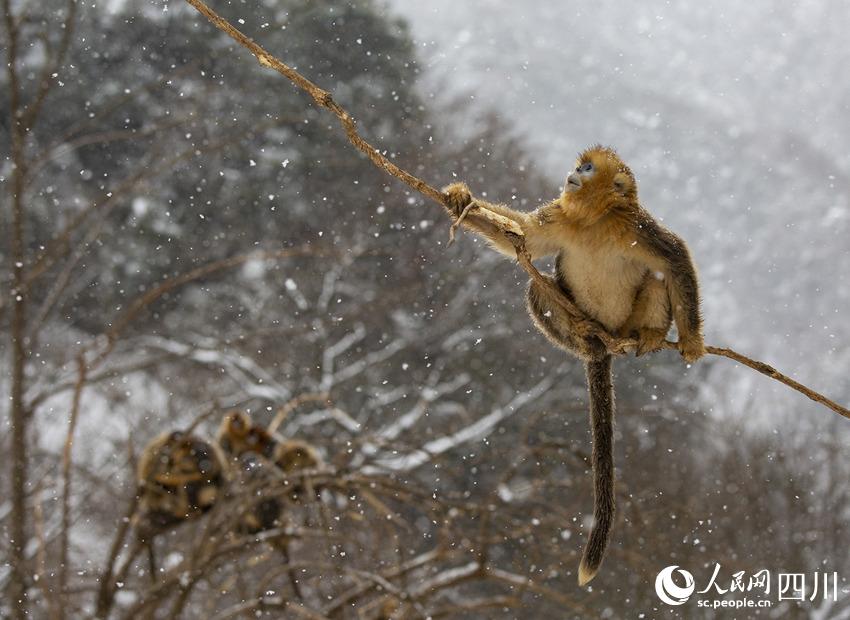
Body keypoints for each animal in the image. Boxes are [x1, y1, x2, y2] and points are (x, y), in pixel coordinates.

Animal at [444, 145, 704, 588]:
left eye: (588, 167)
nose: (573, 173)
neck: (594, 222)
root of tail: (606, 341)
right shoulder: (560, 218)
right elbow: (525, 238)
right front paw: (461, 200)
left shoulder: (636, 224)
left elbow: (674, 259)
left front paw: (691, 339)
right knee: (538, 288)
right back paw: (581, 333)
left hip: (628, 322)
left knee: (656, 279)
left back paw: (651, 335)